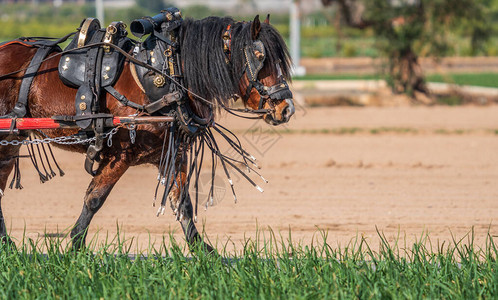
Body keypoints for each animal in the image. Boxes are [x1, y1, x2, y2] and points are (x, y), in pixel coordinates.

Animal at [0, 12, 294, 251]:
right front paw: (75, 247)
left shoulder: (173, 153)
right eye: (260, 57)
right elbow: (95, 198)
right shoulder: (119, 155)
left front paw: (205, 252)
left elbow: (182, 202)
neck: (166, 76)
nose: (286, 108)